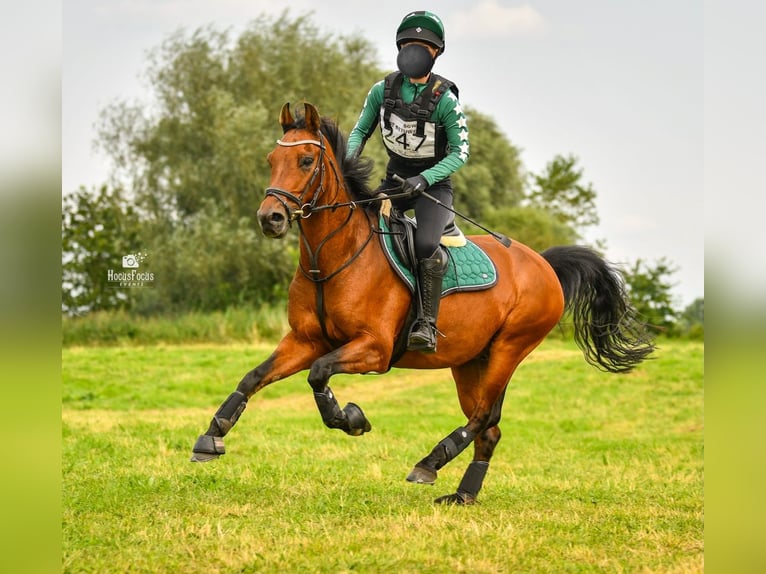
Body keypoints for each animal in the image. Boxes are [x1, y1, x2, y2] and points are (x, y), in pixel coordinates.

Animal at [189, 101, 656, 506]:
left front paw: (352, 419)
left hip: (510, 348)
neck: (333, 258)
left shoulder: (373, 349)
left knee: (482, 417)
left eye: (306, 161)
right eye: (271, 159)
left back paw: (431, 461)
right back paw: (463, 495)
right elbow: (254, 377)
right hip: (470, 361)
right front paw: (212, 436)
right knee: (489, 429)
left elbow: (319, 375)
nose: (269, 218)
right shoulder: (305, 340)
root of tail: (542, 263)